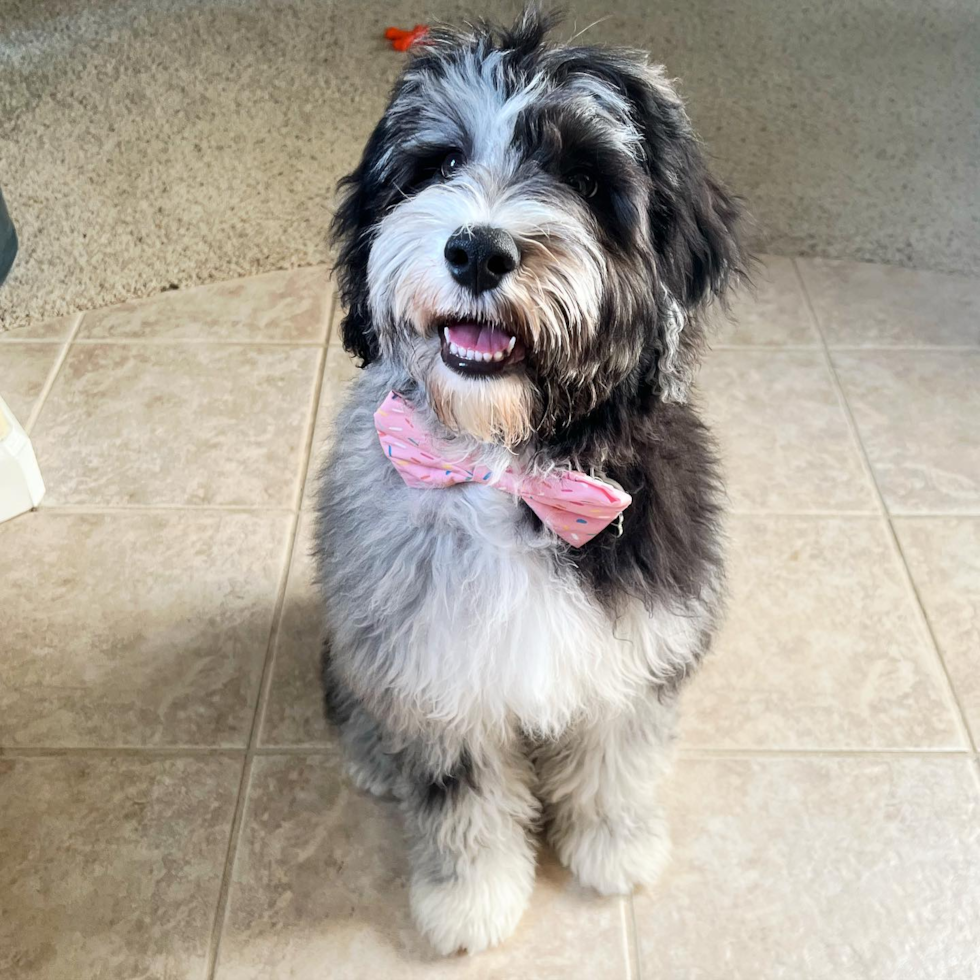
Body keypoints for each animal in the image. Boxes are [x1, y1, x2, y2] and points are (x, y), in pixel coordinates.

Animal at [314, 5, 744, 956]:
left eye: (587, 179)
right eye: (438, 164)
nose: (476, 249)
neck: (512, 469)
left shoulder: (635, 651)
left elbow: (615, 762)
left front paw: (615, 849)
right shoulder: (436, 671)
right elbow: (463, 800)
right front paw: (470, 899)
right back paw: (372, 753)